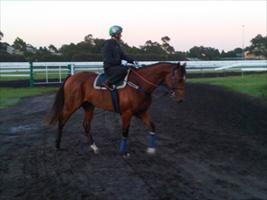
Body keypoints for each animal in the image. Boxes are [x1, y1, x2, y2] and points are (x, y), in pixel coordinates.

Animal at [48, 61, 186, 155]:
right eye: (178, 78)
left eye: (184, 79)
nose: (180, 99)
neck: (139, 85)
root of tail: (71, 77)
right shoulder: (126, 113)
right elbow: (125, 132)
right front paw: (123, 152)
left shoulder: (141, 112)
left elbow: (152, 127)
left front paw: (151, 149)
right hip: (71, 105)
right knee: (61, 121)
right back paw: (57, 145)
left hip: (89, 107)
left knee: (86, 125)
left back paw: (94, 147)